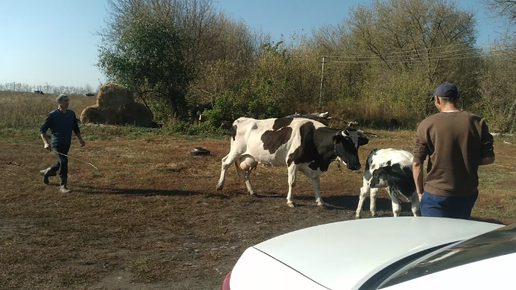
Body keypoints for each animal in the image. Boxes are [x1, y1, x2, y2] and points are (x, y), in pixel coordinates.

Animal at [216, 116, 368, 207]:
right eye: (345, 144)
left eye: (357, 145)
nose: (356, 165)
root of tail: (240, 120)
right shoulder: (292, 162)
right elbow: (292, 182)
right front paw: (290, 201)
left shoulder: (312, 166)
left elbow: (316, 184)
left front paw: (320, 201)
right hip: (236, 151)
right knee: (225, 162)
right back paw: (219, 185)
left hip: (248, 157)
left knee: (244, 172)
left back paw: (252, 191)